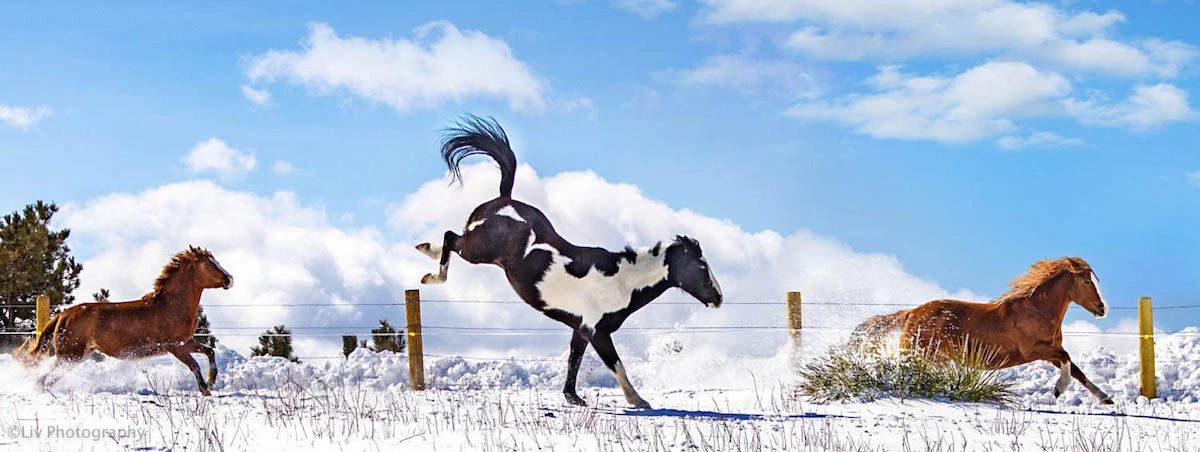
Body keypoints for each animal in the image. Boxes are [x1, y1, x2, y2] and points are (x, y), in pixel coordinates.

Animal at [16, 246, 233, 395]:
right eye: (208, 263)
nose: (229, 279)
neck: (172, 305)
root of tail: (62, 315)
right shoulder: (174, 346)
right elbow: (194, 365)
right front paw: (205, 389)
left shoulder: (186, 342)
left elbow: (209, 351)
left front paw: (211, 381)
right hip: (70, 356)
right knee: (44, 378)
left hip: (76, 355)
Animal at [415, 116, 724, 409]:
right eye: (701, 267)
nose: (719, 299)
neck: (621, 281)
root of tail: (504, 199)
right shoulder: (597, 332)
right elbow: (616, 365)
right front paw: (638, 400)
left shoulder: (580, 329)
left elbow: (573, 361)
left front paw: (573, 398)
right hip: (478, 251)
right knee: (451, 238)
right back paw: (430, 272)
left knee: (451, 238)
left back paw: (426, 252)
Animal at [853, 256, 1113, 404]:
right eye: (1086, 282)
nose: (1102, 309)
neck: (1036, 310)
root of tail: (911, 313)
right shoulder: (1033, 350)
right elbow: (1067, 358)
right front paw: (1059, 389)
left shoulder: (1050, 351)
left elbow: (1078, 370)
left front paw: (1105, 399)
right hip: (920, 354)